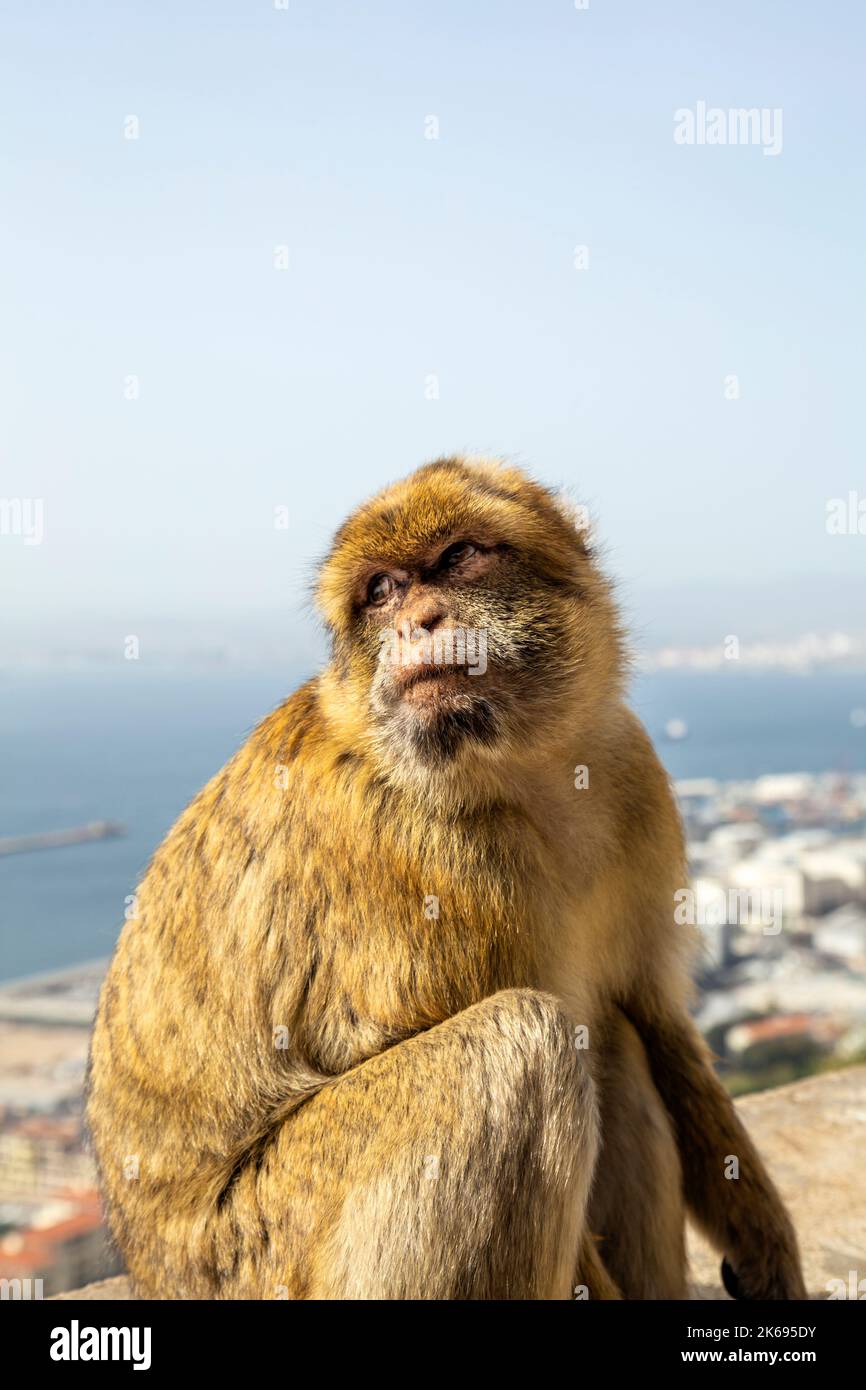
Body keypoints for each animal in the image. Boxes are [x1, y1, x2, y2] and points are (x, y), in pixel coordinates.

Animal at [86, 458, 806, 1301]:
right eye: (381, 591)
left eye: (458, 556)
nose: (417, 622)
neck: (525, 773)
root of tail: (155, 1272)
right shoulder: (439, 868)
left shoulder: (635, 778)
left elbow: (653, 1016)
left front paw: (767, 1245)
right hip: (270, 1247)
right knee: (524, 1041)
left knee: (610, 1042)